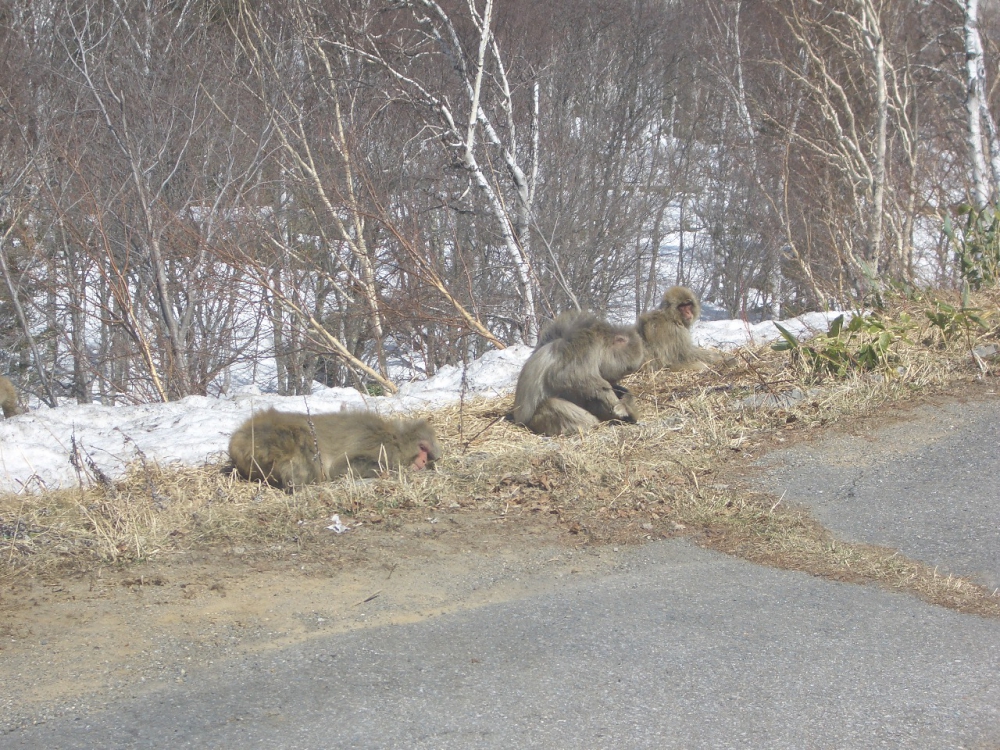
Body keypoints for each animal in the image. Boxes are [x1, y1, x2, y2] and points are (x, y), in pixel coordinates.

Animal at [232, 408, 444, 490]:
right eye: (423, 449)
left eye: (428, 456)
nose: (423, 461)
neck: (395, 437)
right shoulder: (383, 446)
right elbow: (340, 467)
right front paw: (387, 472)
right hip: (273, 439)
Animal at [512, 312, 644, 438]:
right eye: (625, 370)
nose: (616, 380)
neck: (601, 342)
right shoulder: (585, 347)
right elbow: (565, 376)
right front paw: (616, 403)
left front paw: (624, 395)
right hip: (538, 420)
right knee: (553, 403)